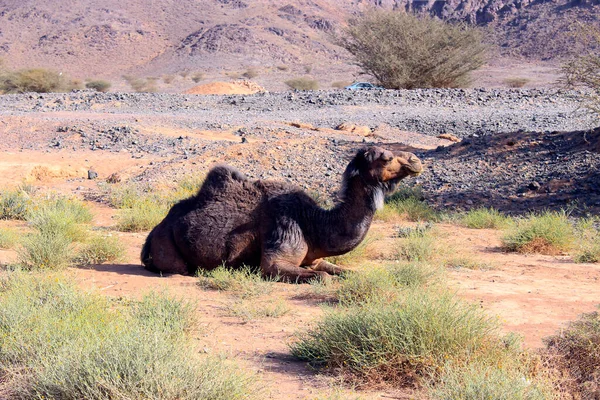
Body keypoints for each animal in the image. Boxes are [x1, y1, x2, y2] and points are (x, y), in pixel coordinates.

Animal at [141, 146, 422, 282]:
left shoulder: (314, 259)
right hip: (168, 247)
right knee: (177, 268)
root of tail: (154, 231)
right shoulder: (277, 255)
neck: (313, 224)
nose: (416, 160)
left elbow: (347, 272)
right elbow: (323, 278)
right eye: (385, 158)